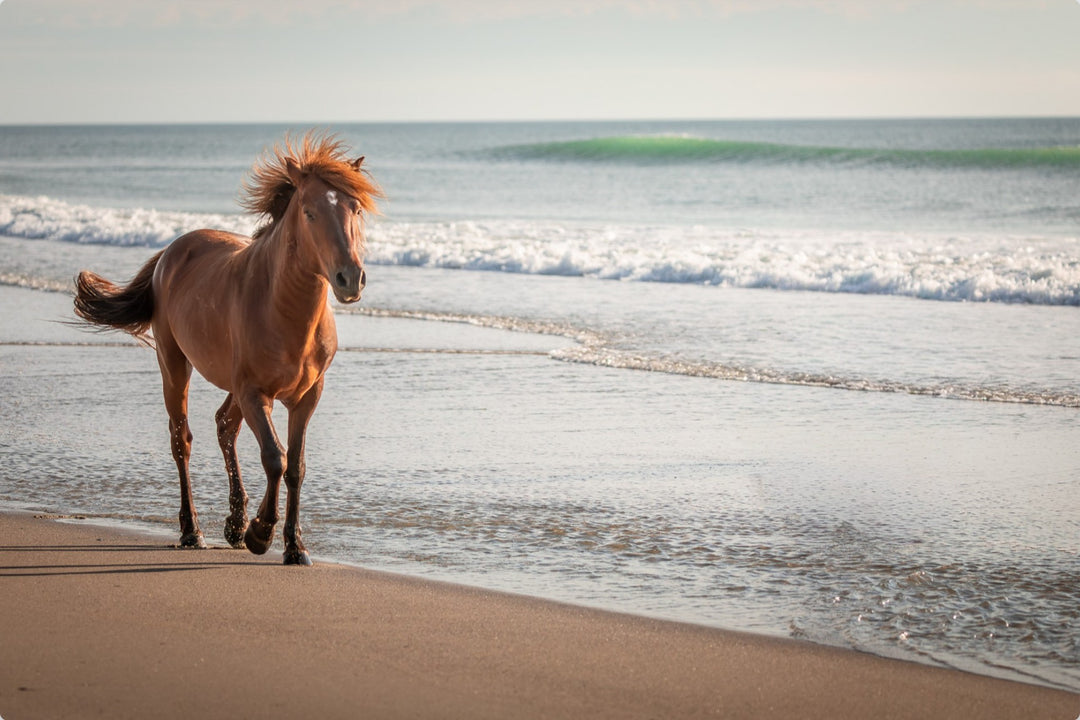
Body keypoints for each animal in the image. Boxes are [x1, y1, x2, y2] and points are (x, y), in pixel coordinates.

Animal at [73, 132, 382, 565]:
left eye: (355, 208)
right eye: (309, 212)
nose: (350, 278)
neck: (283, 311)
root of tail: (171, 251)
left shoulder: (307, 396)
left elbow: (296, 466)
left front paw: (293, 546)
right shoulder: (255, 393)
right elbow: (274, 457)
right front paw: (261, 533)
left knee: (224, 426)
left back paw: (233, 524)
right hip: (174, 365)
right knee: (182, 441)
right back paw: (193, 531)